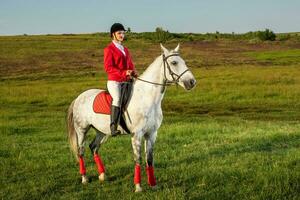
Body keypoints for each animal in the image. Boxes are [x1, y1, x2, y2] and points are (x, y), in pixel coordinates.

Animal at [66, 43, 196, 192]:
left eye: (184, 62)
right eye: (174, 62)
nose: (192, 82)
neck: (148, 98)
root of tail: (79, 97)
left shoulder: (152, 133)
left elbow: (149, 159)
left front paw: (153, 184)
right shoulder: (137, 134)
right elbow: (137, 158)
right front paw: (138, 187)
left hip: (102, 131)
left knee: (94, 147)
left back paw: (103, 175)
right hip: (82, 130)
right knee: (81, 151)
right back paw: (84, 178)